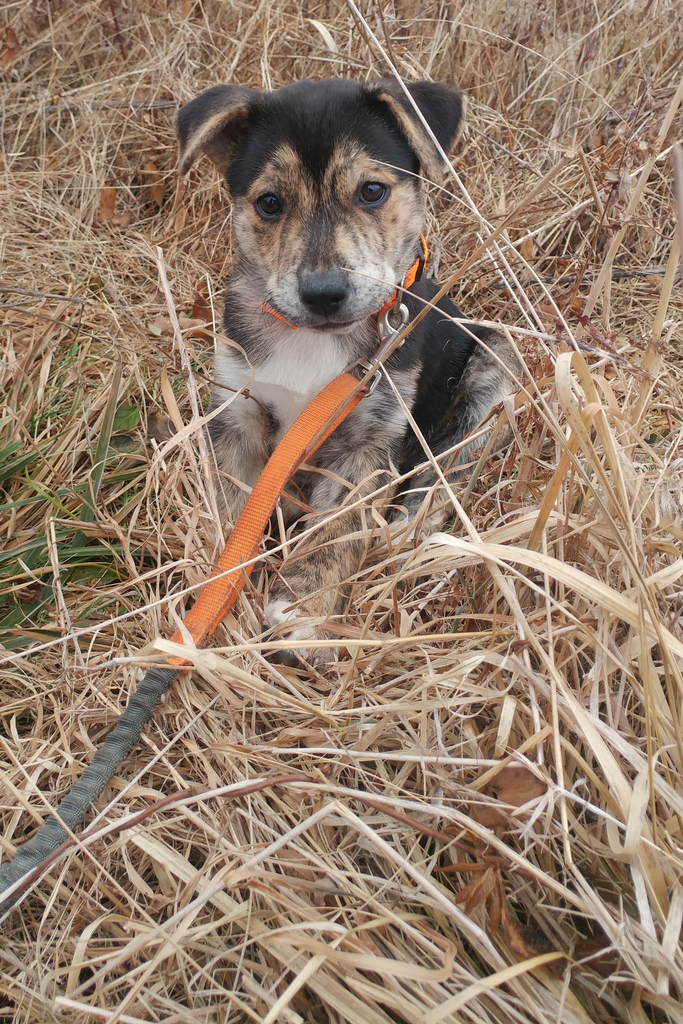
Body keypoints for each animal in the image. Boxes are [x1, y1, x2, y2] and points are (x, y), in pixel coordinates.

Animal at [176, 81, 518, 671]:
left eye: (372, 191)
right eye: (269, 203)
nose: (323, 294)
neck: (312, 339)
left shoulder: (368, 442)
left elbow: (338, 530)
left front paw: (302, 614)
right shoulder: (237, 414)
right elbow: (231, 510)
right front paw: (218, 589)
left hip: (493, 369)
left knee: (441, 481)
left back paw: (402, 535)